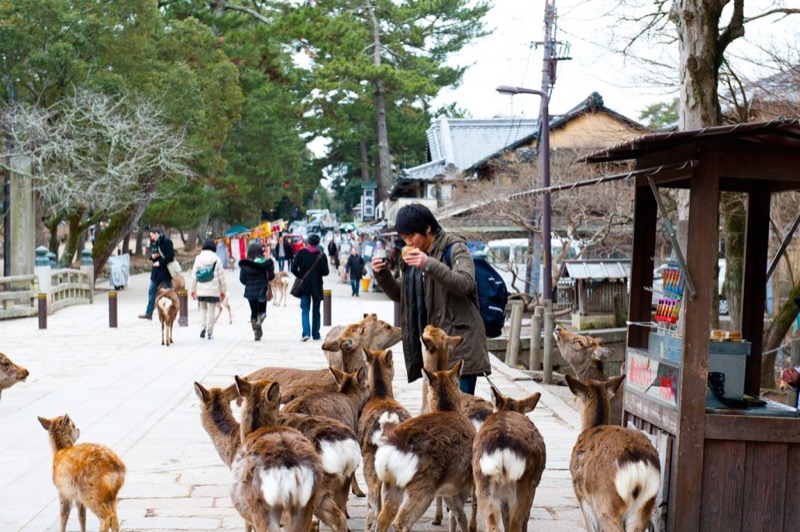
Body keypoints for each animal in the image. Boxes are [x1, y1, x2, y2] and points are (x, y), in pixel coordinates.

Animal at [375, 360, 476, 532]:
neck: (448, 409)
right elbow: (462, 513)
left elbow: (456, 513)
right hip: (423, 486)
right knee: (401, 521)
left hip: (390, 483)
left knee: (382, 518)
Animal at [472, 386, 546, 532]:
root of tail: (501, 445)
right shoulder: (534, 485)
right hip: (522, 484)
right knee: (515, 524)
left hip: (482, 481)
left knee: (492, 523)